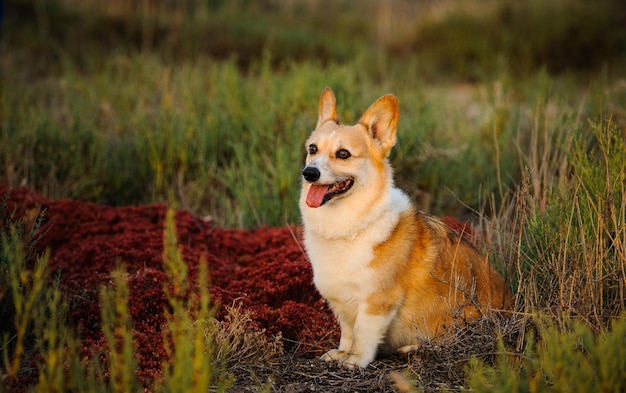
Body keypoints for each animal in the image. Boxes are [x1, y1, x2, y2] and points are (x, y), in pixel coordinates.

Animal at [300, 88, 510, 368]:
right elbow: (348, 331)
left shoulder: (378, 302)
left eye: (343, 154)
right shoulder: (343, 301)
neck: (350, 224)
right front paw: (341, 353)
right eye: (312, 149)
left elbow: (363, 333)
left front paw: (355, 360)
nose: (309, 173)